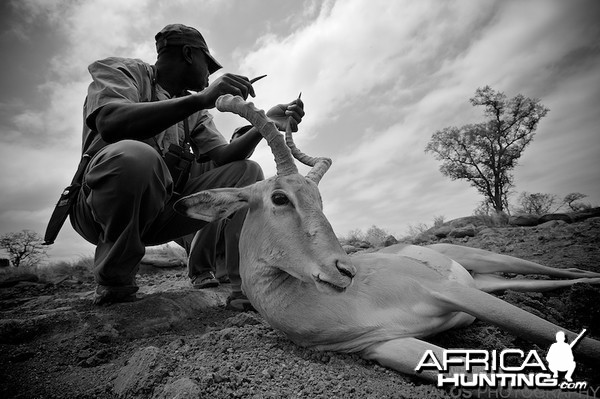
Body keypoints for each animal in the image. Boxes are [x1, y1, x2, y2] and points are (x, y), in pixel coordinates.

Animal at [176, 94, 600, 396]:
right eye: (280, 198)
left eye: (320, 201)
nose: (344, 270)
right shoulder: (384, 346)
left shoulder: (445, 290)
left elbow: (561, 336)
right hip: (489, 284)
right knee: (552, 282)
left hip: (483, 263)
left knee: (558, 270)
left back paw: (587, 275)